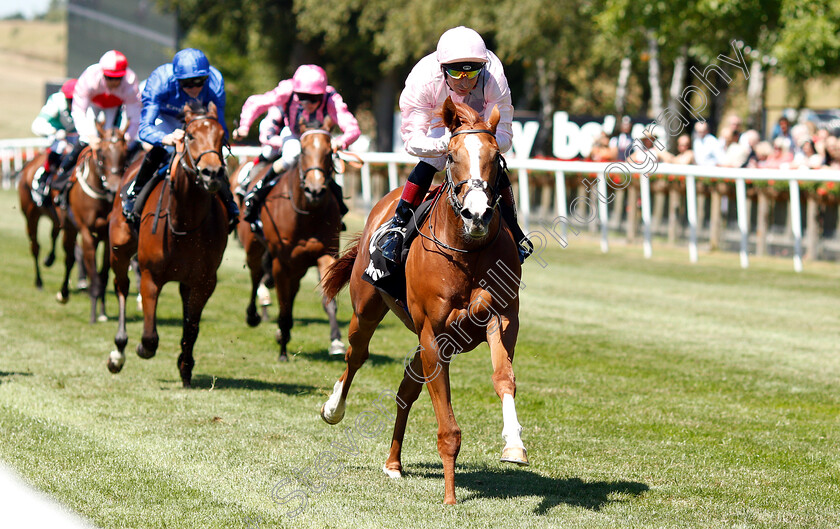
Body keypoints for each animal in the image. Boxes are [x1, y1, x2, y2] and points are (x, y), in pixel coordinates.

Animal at [56, 119, 130, 322]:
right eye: (103, 153)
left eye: (126, 153)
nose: (114, 188)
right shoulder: (87, 233)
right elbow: (93, 275)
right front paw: (93, 316)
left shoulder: (107, 237)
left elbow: (103, 276)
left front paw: (102, 312)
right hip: (68, 227)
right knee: (69, 258)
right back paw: (63, 293)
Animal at [106, 103, 230, 386]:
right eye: (191, 136)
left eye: (221, 137)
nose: (212, 173)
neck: (185, 221)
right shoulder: (150, 275)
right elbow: (150, 338)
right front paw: (140, 348)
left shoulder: (204, 281)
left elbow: (191, 326)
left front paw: (186, 365)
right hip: (119, 249)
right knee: (121, 287)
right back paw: (118, 351)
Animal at [236, 117, 344, 360]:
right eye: (303, 150)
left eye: (329, 152)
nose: (315, 190)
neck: (307, 213)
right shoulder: (281, 262)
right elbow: (283, 305)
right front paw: (283, 348)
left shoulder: (325, 254)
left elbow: (329, 300)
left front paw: (336, 341)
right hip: (254, 246)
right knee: (256, 275)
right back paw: (253, 315)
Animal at [320, 97, 524, 506]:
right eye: (453, 156)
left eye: (496, 158)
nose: (477, 214)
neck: (466, 251)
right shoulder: (433, 334)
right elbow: (448, 426)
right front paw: (450, 496)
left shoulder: (500, 319)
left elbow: (503, 377)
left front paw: (514, 444)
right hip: (367, 310)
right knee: (356, 356)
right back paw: (335, 408)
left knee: (405, 389)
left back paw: (393, 463)